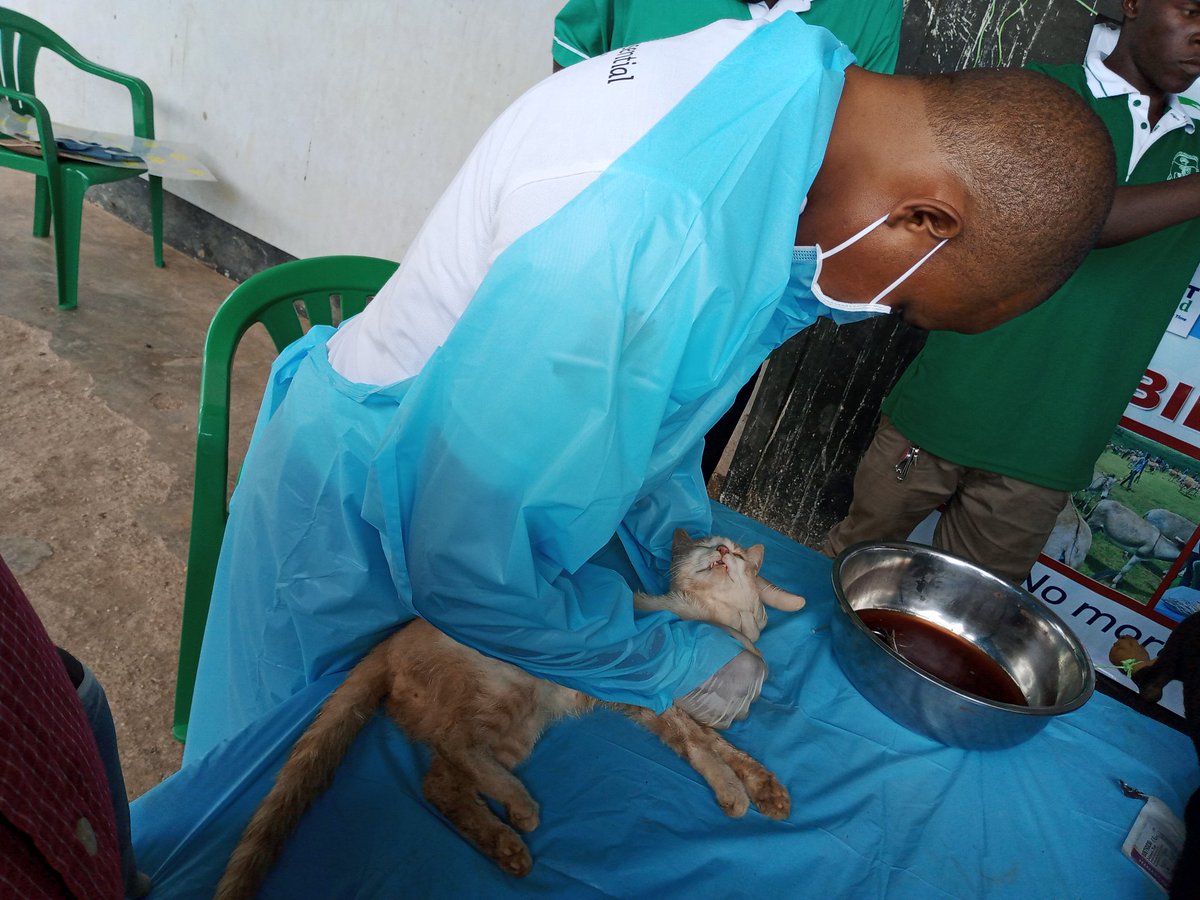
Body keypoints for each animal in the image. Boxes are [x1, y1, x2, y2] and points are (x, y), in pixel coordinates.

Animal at [214, 532, 801, 897]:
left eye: (736, 555)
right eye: (704, 545)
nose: (722, 549)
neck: (708, 620)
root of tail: (384, 646)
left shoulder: (671, 710)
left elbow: (721, 745)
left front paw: (764, 789)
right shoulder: (646, 693)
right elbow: (703, 747)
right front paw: (732, 792)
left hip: (516, 732)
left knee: (440, 783)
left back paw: (505, 844)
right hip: (506, 697)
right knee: (454, 750)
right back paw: (520, 808)